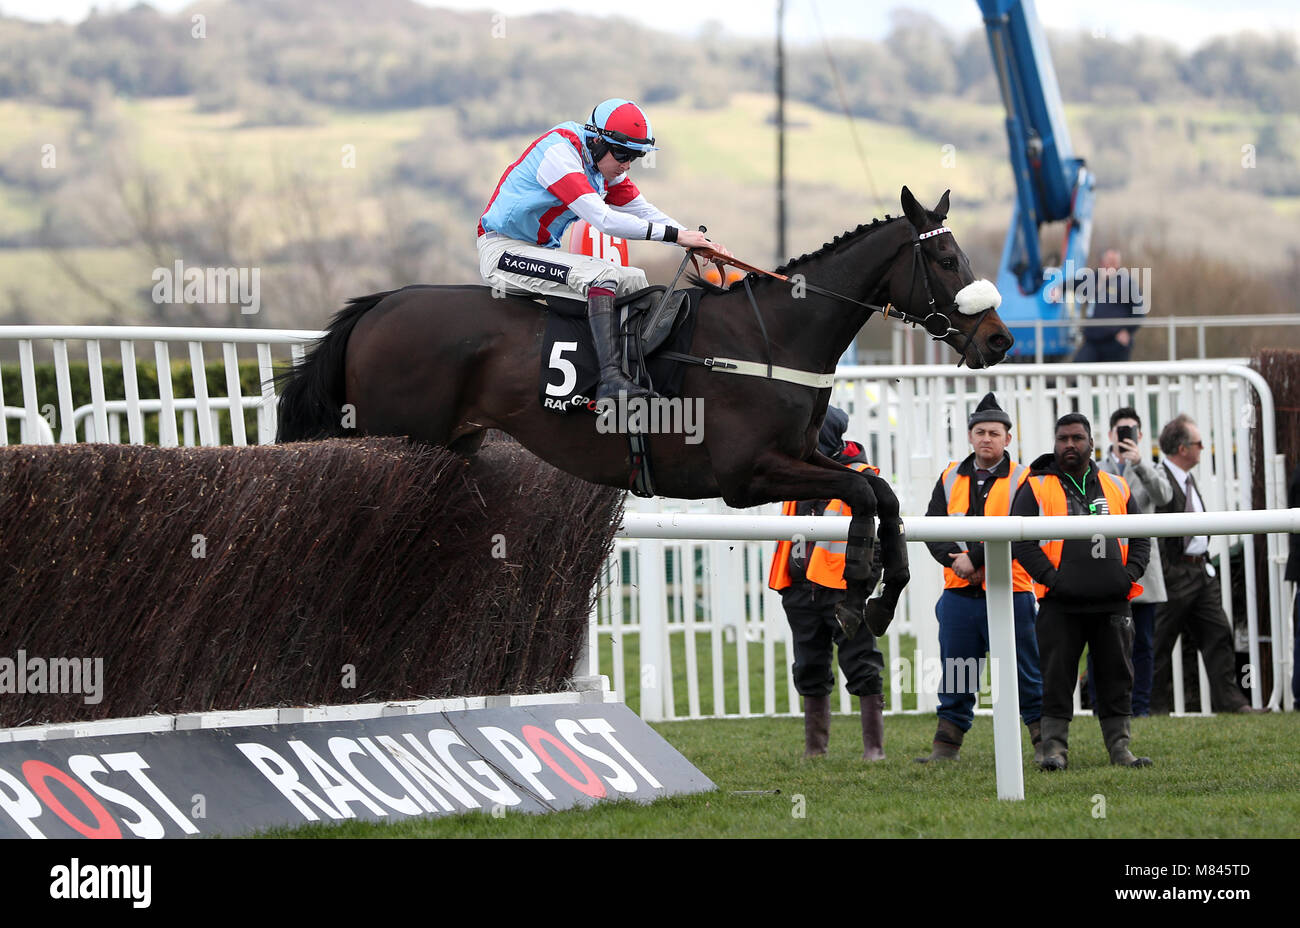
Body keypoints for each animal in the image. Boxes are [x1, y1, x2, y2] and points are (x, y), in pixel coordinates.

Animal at [276, 188, 1013, 636]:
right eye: (945, 257)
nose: (1000, 339)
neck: (771, 335)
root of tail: (378, 304)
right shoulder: (746, 475)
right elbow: (861, 493)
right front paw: (858, 585)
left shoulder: (804, 453)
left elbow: (882, 493)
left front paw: (880, 597)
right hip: (393, 441)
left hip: (449, 446)